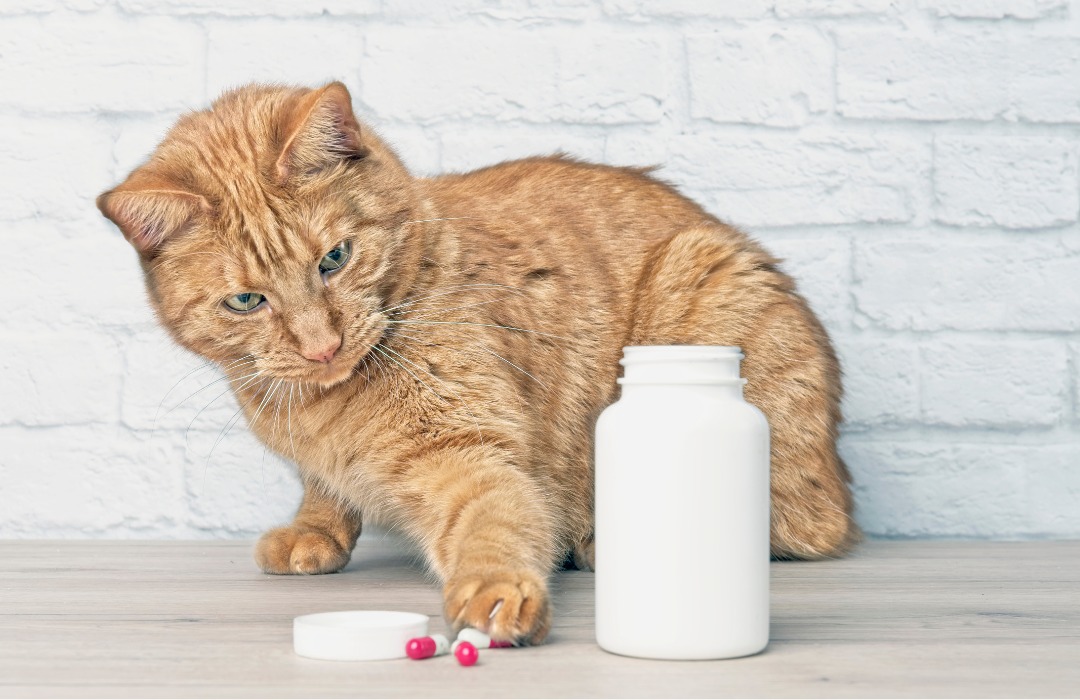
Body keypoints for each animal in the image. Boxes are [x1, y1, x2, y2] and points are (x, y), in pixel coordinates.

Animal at [101, 80, 859, 639]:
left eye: (335, 259)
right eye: (246, 301)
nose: (322, 345)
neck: (323, 410)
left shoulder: (463, 451)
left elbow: (492, 520)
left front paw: (497, 590)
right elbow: (323, 489)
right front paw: (315, 530)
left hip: (705, 287)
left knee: (802, 527)